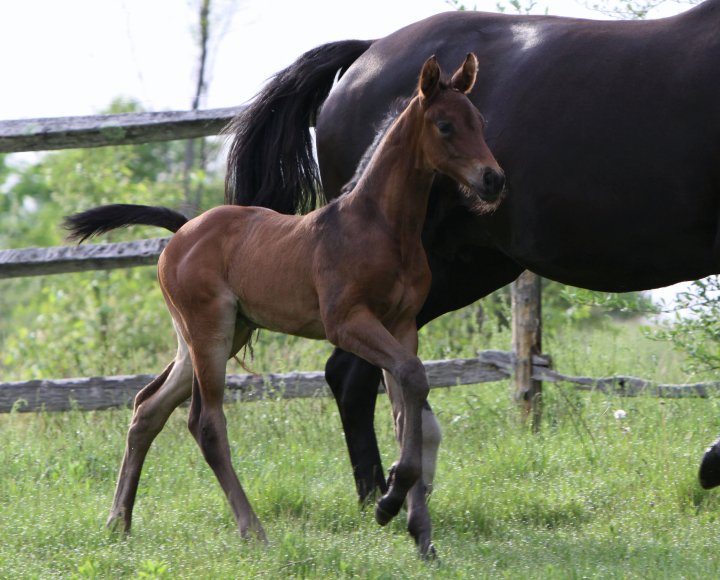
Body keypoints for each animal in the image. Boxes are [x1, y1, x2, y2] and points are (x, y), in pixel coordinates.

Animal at [64, 55, 506, 556]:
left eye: (480, 121)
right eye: (445, 125)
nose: (493, 179)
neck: (380, 226)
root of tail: (182, 231)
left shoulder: (402, 325)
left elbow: (404, 406)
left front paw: (418, 530)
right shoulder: (346, 322)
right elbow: (412, 378)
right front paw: (389, 503)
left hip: (215, 335)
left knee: (147, 408)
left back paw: (118, 522)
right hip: (209, 331)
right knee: (206, 424)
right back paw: (252, 530)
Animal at [228, 0, 720, 502]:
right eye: (446, 125)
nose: (494, 180)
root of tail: (367, 51)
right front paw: (712, 463)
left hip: (448, 275)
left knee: (358, 375)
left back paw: (381, 496)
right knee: (352, 375)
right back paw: (379, 497)